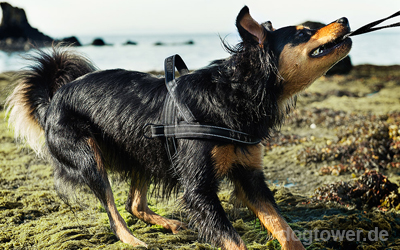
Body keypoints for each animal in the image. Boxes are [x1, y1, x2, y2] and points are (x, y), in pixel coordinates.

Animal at [5, 5, 350, 250]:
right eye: (304, 33)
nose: (346, 18)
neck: (232, 94)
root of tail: (53, 98)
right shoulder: (199, 189)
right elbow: (235, 241)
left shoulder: (250, 177)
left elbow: (284, 229)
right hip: (88, 156)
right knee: (114, 211)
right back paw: (134, 241)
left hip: (142, 150)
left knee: (133, 204)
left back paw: (168, 224)